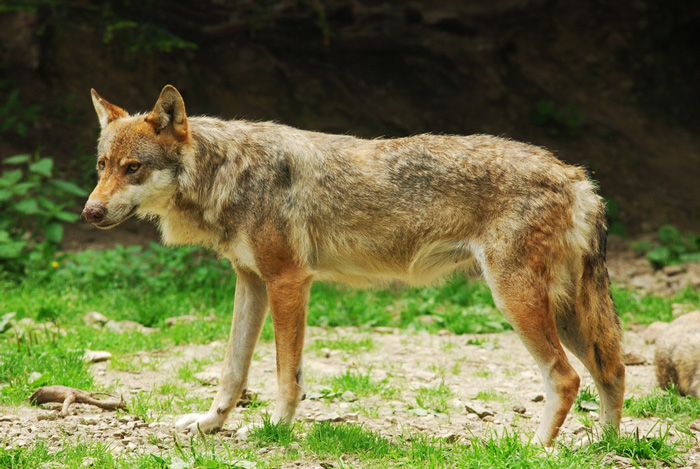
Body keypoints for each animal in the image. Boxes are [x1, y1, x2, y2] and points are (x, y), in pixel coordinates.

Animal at [85, 85, 628, 446]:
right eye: (102, 166)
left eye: (134, 168)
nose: (90, 212)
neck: (229, 172)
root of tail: (577, 177)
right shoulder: (251, 282)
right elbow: (232, 372)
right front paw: (208, 424)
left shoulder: (289, 281)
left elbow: (286, 375)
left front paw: (276, 430)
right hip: (565, 311)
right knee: (613, 369)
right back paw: (603, 447)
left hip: (517, 301)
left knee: (566, 378)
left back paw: (534, 450)